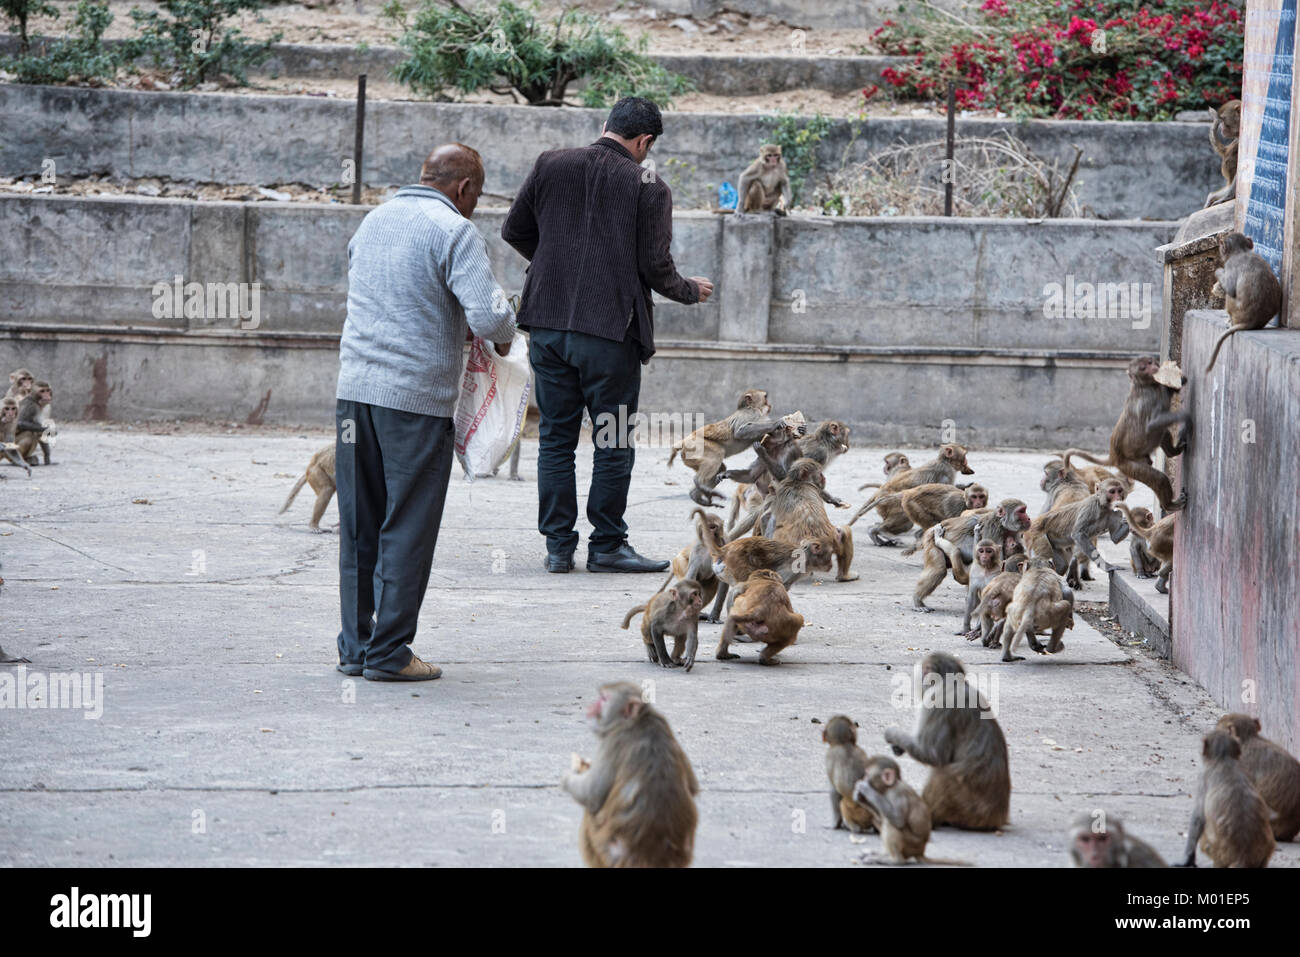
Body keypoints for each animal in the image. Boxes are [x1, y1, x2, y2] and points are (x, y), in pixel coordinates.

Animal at [562, 681, 698, 868]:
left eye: (604, 699)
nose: (590, 708)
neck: (637, 720)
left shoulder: (613, 741)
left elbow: (592, 796)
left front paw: (567, 778)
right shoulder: (663, 723)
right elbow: (693, 787)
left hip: (601, 846)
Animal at [884, 651, 1011, 830]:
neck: (952, 683)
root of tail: (996, 818)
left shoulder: (936, 704)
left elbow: (933, 755)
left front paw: (892, 733)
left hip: (965, 807)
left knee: (941, 772)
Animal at [1062, 356, 1190, 512]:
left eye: (1150, 362)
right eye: (1143, 368)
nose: (1154, 368)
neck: (1145, 385)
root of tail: (1114, 455)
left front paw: (1179, 380)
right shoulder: (1148, 398)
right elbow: (1153, 424)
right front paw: (1183, 415)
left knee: (1162, 433)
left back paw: (1173, 452)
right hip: (1128, 464)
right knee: (1158, 477)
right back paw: (1169, 505)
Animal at [1178, 728, 1274, 868]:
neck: (1224, 759)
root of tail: (1243, 856)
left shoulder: (1203, 777)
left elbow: (1198, 817)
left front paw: (1187, 858)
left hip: (1215, 849)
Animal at [1203, 233, 1283, 373]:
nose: (1220, 250)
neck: (1241, 251)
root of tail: (1251, 323)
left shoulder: (1230, 264)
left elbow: (1230, 288)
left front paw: (1218, 271)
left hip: (1235, 311)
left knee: (1230, 296)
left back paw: (1229, 321)